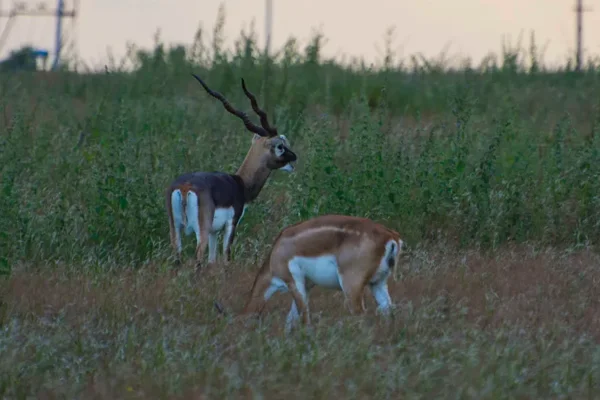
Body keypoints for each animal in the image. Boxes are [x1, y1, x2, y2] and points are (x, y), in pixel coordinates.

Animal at [166, 75, 298, 268]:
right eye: (280, 146)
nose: (294, 157)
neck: (240, 183)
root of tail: (184, 188)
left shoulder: (214, 231)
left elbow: (212, 260)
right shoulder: (231, 224)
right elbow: (226, 256)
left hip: (175, 229)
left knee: (178, 258)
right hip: (201, 231)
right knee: (197, 258)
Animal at [213, 216, 406, 332]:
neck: (276, 253)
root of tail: (391, 237)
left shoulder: (293, 281)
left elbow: (304, 316)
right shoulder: (306, 285)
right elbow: (291, 318)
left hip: (351, 285)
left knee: (361, 314)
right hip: (378, 283)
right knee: (388, 310)